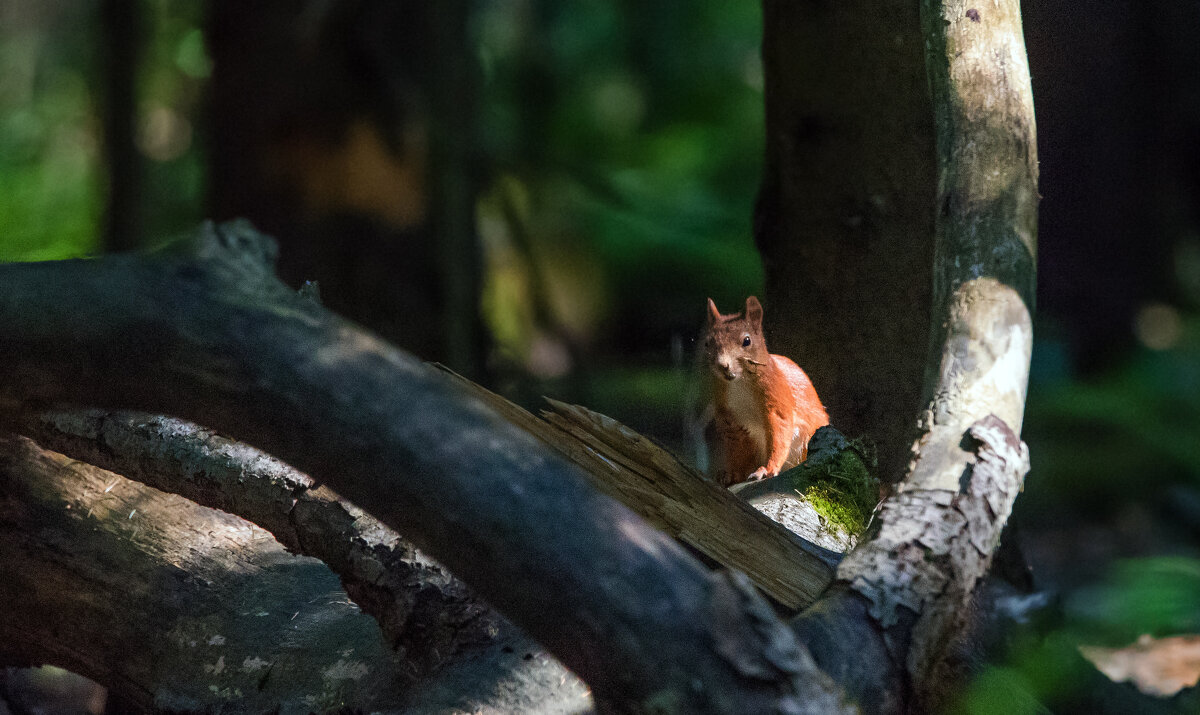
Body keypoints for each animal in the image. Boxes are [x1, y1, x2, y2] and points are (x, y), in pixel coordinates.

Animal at [700, 295, 825, 487]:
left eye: (747, 341)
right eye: (707, 343)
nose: (723, 366)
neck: (740, 382)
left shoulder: (777, 400)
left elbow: (779, 436)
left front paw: (766, 469)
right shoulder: (729, 417)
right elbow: (736, 451)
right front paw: (731, 473)